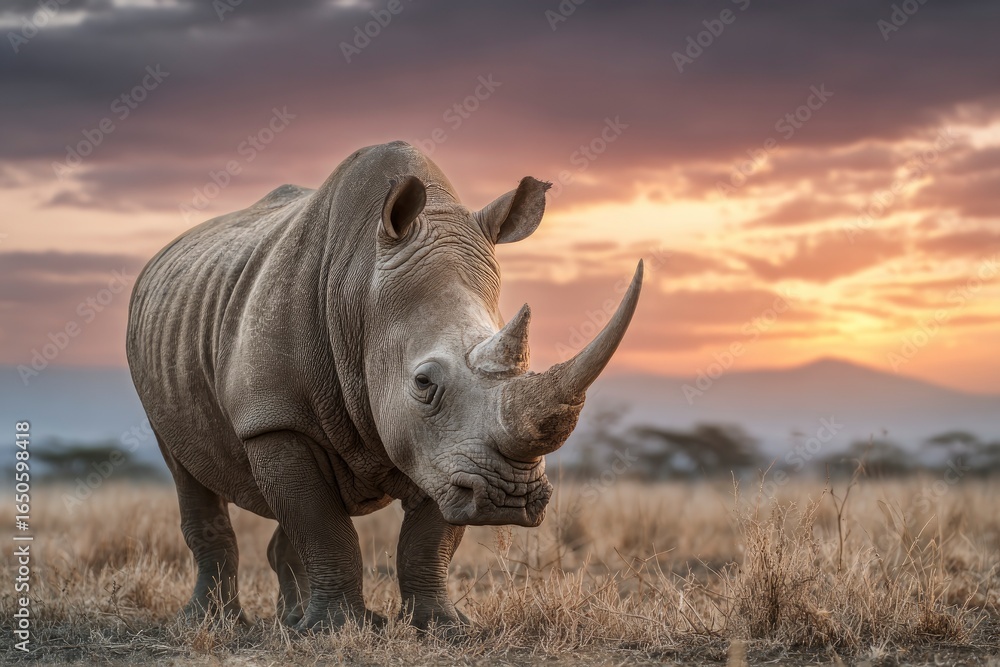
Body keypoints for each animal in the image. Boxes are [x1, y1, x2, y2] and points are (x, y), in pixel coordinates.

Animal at [126, 140, 642, 634]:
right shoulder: (274, 418)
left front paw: (443, 627)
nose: (508, 497)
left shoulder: (437, 449)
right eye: (423, 382)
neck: (360, 295)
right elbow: (322, 524)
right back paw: (213, 623)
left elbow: (427, 538)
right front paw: (336, 630)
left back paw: (291, 620)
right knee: (186, 470)